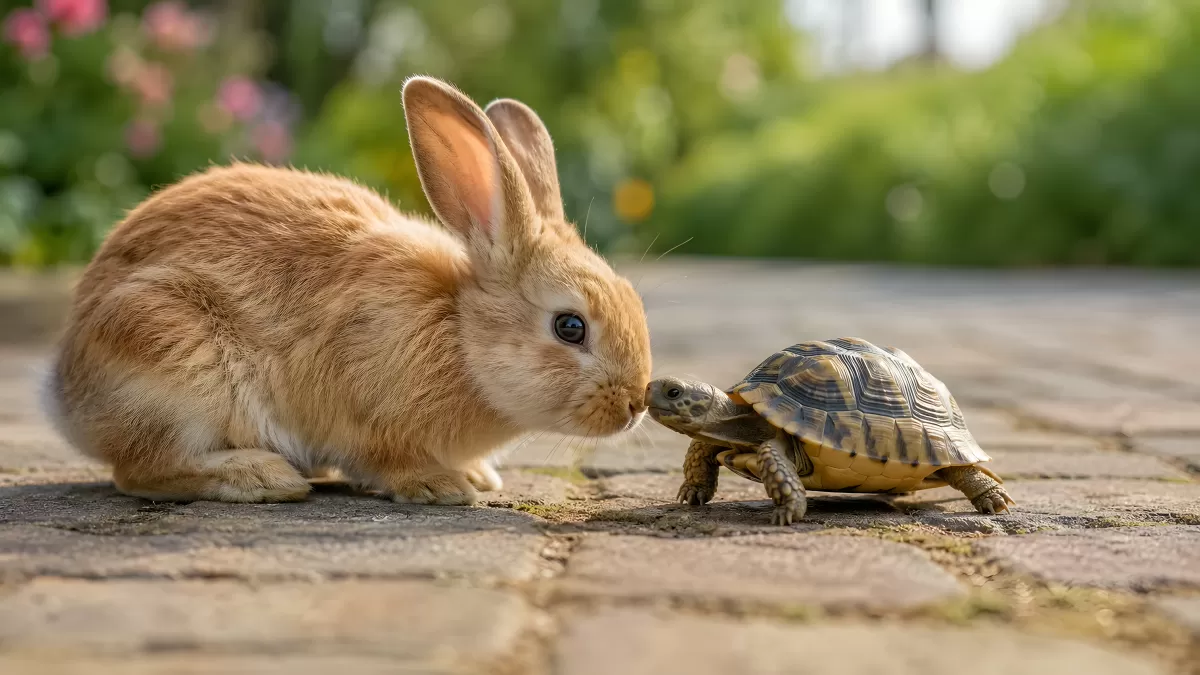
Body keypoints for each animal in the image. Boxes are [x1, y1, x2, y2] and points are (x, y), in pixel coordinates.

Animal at [41, 76, 652, 506]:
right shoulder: (369, 415)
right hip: (173, 360)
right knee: (139, 470)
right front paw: (442, 486)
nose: (634, 404)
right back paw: (263, 477)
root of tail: (66, 397)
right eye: (569, 327)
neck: (460, 335)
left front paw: (478, 476)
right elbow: (388, 459)